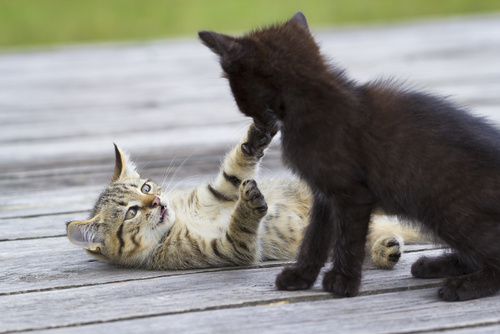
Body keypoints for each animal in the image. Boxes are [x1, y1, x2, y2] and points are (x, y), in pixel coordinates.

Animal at [66, 124, 422, 270]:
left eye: (145, 189)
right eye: (130, 214)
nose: (156, 203)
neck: (182, 217)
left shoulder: (219, 191)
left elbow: (237, 166)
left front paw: (256, 137)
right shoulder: (227, 250)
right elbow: (239, 228)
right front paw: (248, 207)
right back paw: (385, 249)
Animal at [198, 13, 500, 302]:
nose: (260, 127)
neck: (313, 102)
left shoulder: (352, 194)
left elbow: (348, 240)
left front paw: (342, 282)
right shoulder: (324, 196)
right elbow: (315, 238)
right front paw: (301, 277)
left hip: (452, 211)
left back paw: (464, 285)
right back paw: (435, 265)